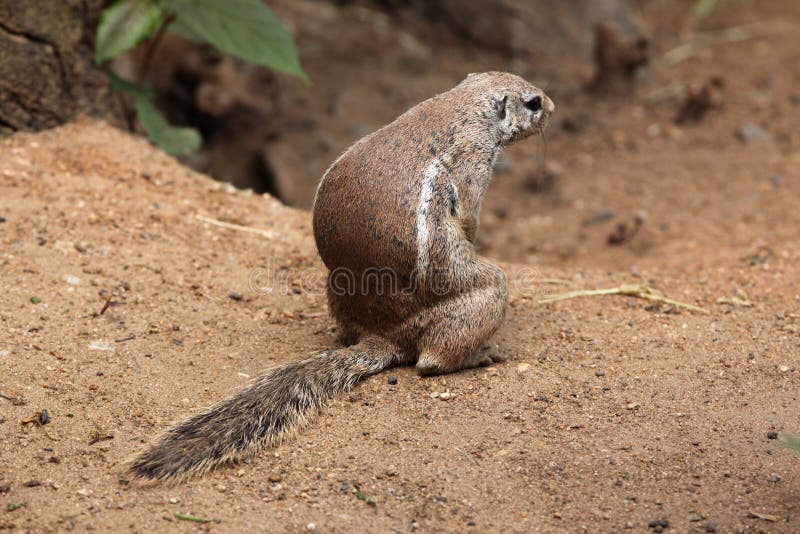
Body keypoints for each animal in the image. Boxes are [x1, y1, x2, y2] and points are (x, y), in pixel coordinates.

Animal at [133, 72, 556, 482]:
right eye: (533, 102)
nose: (552, 107)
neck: (464, 106)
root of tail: (383, 336)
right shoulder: (473, 167)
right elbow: (469, 216)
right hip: (485, 292)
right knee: (431, 361)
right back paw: (480, 355)